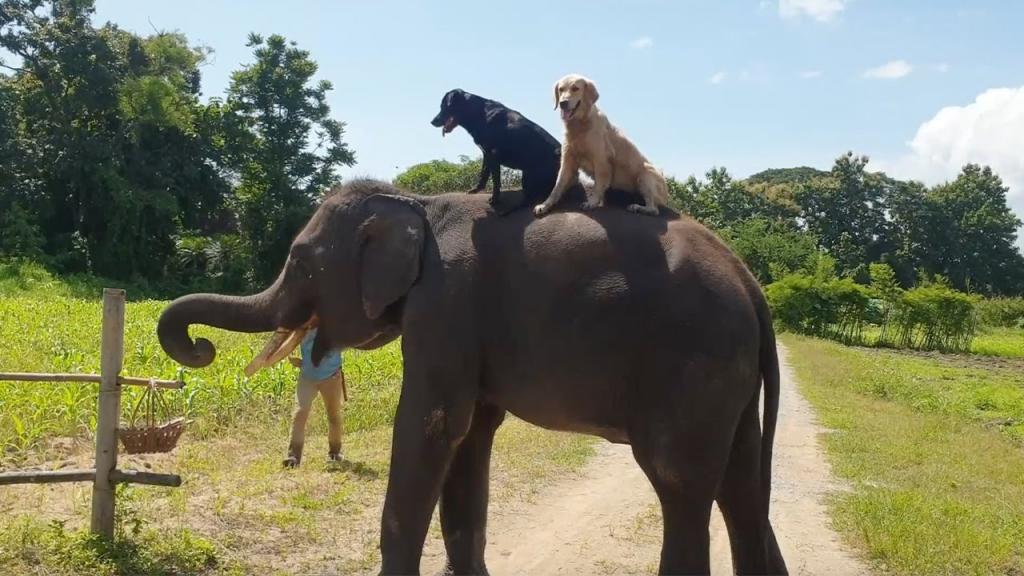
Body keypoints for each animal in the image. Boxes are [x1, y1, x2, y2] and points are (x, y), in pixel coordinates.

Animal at [157, 179, 782, 573]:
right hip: (728, 378)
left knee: (680, 485)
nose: (200, 348)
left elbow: (430, 425)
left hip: (693, 364)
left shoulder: (446, 306)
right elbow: (471, 437)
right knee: (742, 489)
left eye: (300, 262)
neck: (415, 202)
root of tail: (751, 286)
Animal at [432, 89, 561, 213]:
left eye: (443, 106)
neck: (478, 114)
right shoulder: (486, 153)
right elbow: (483, 174)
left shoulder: (493, 155)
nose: (432, 122)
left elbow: (496, 181)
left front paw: (494, 200)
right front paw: (477, 189)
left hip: (529, 176)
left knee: (532, 200)